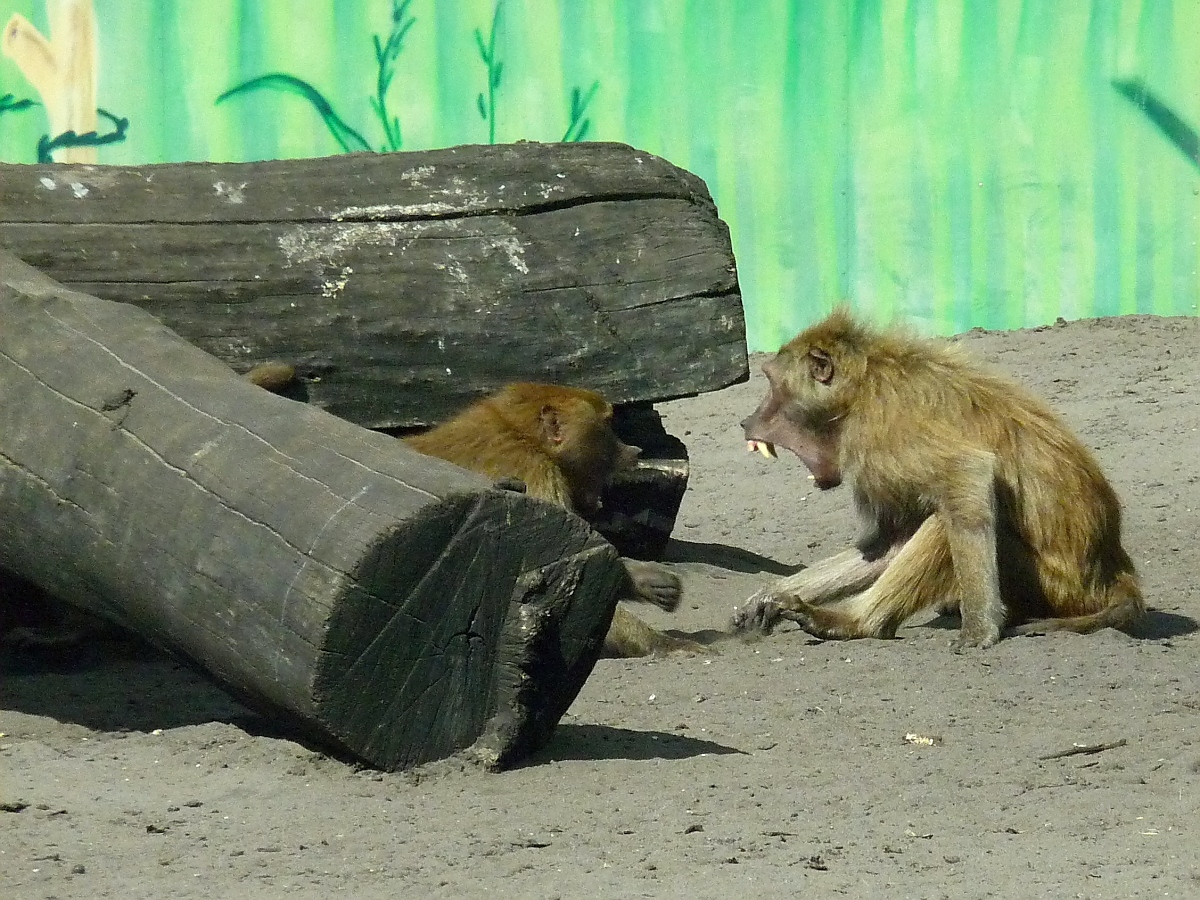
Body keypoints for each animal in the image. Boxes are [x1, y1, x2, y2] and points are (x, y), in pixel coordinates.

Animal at [729, 309, 1142, 648]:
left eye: (772, 384)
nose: (747, 420)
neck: (858, 392)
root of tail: (1113, 574)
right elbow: (886, 543)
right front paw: (771, 595)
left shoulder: (881, 439)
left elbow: (970, 473)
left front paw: (980, 629)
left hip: (1052, 586)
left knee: (951, 516)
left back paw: (857, 623)